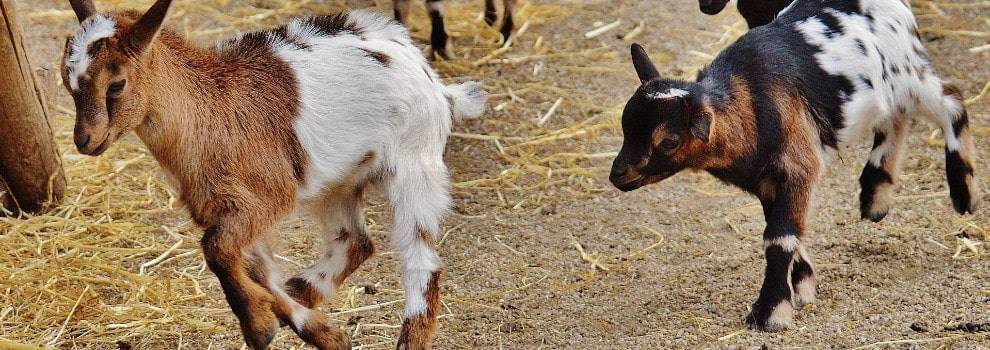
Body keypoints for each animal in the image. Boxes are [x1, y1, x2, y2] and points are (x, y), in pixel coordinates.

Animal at [612, 0, 976, 332]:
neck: (751, 102)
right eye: (626, 125)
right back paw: (876, 197)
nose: (618, 174)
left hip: (908, 73)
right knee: (896, 118)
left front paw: (770, 313)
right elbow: (784, 231)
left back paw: (964, 193)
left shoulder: (798, 165)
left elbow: (779, 238)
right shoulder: (766, 182)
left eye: (669, 140)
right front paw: (802, 287)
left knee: (951, 100)